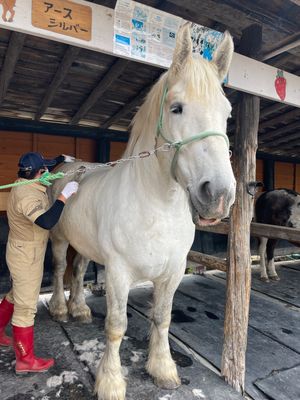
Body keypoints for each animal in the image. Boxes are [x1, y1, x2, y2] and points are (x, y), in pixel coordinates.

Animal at [48, 24, 237, 400]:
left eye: (226, 114)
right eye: (176, 108)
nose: (219, 195)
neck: (157, 207)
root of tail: (67, 166)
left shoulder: (172, 272)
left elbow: (162, 318)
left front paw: (163, 369)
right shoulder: (118, 273)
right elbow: (116, 326)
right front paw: (110, 382)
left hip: (85, 245)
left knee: (78, 270)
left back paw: (79, 310)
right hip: (60, 239)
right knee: (62, 269)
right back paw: (61, 310)